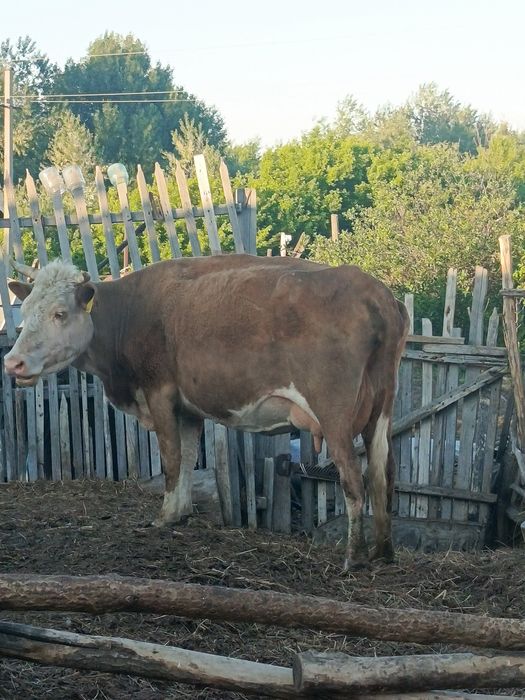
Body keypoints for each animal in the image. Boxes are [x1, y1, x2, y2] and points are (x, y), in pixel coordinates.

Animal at [4, 254, 409, 569]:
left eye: (59, 313)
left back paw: (353, 557)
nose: (13, 362)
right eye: (25, 312)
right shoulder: (188, 407)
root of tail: (377, 294)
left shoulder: (160, 393)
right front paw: (180, 512)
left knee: (353, 478)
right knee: (382, 472)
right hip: (382, 409)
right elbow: (186, 456)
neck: (131, 312)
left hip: (334, 413)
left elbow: (170, 458)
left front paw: (164, 516)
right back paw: (383, 551)